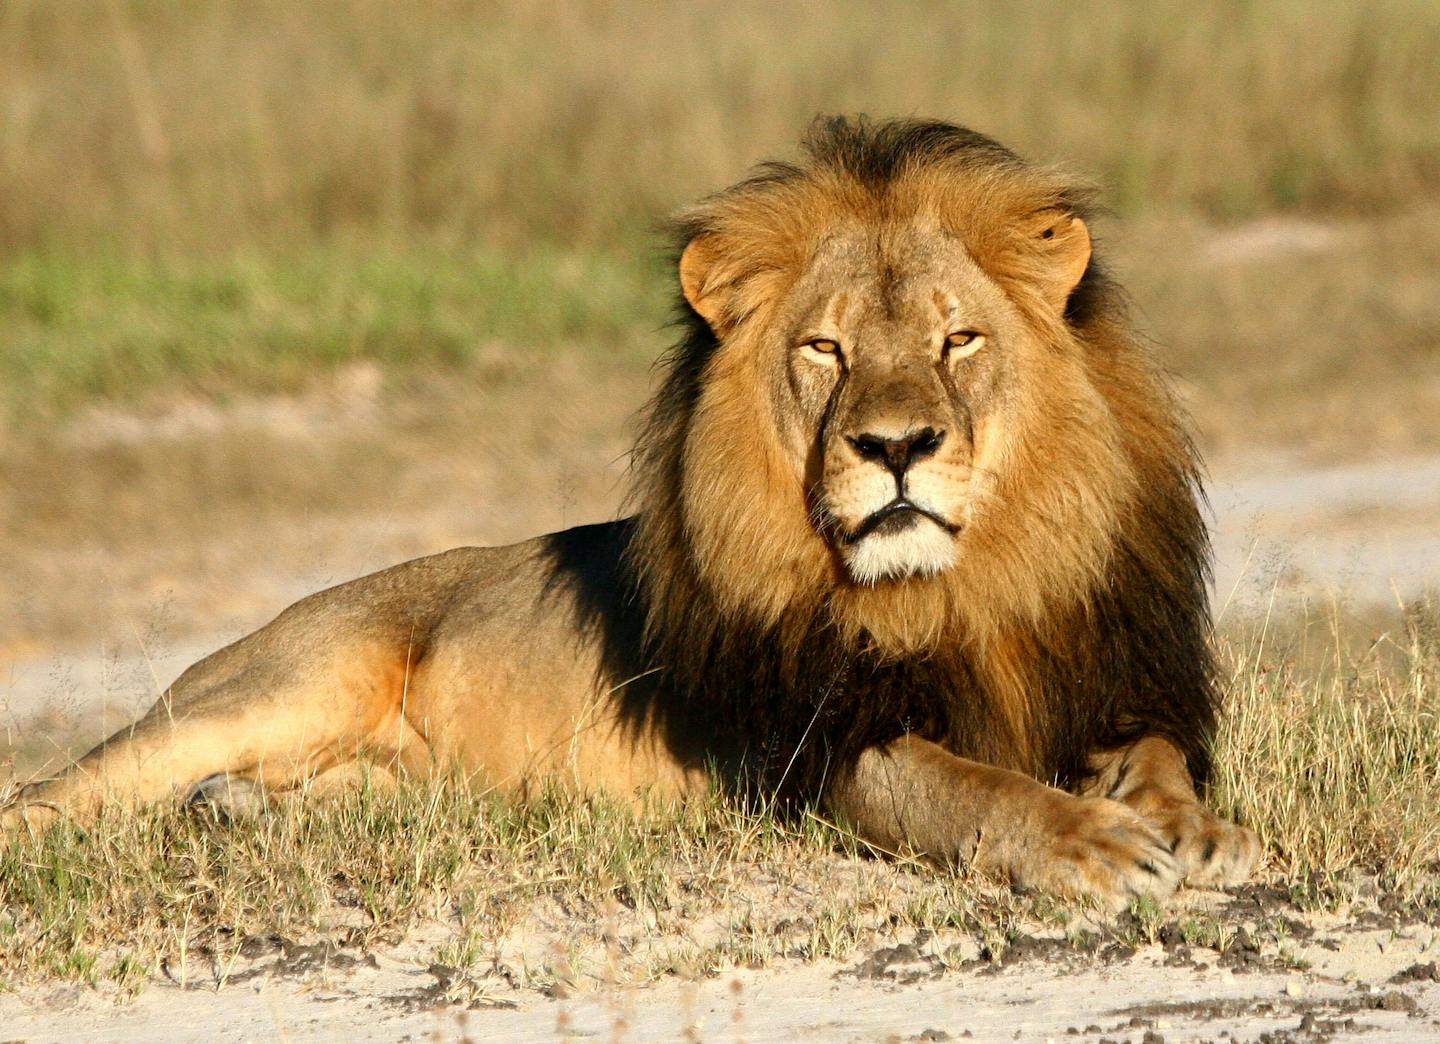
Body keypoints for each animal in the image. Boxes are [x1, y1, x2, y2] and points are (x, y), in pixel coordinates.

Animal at [2, 118, 1261, 910]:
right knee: (52, 794)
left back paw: (239, 818)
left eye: (959, 339)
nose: (895, 447)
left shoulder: (1111, 676)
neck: (962, 588)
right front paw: (1093, 845)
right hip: (278, 684)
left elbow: (1158, 757)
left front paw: (1193, 830)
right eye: (826, 349)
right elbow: (968, 788)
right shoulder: (813, 748)